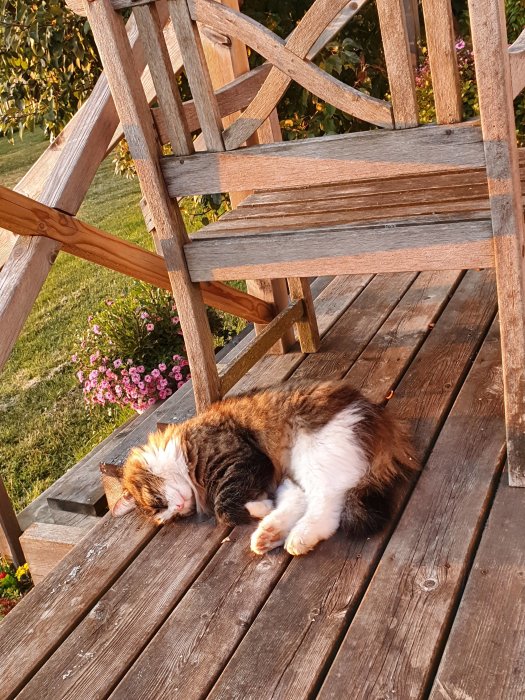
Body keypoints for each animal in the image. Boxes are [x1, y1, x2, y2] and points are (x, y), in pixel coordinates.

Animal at [112, 380, 416, 556]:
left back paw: (298, 537)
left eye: (157, 505)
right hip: (295, 470)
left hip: (312, 454)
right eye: (170, 517)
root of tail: (382, 421)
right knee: (304, 501)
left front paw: (256, 508)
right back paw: (269, 534)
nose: (177, 510)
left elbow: (224, 506)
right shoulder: (266, 474)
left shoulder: (243, 458)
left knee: (326, 505)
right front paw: (261, 509)